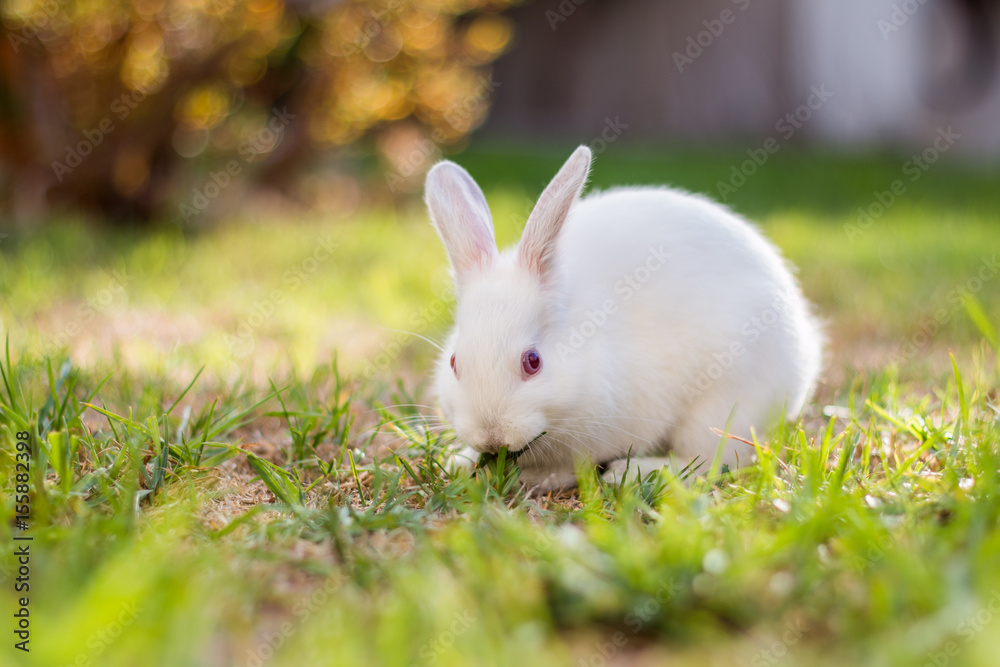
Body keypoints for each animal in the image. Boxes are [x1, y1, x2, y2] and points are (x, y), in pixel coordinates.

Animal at [424, 145, 822, 491]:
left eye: (533, 361)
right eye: (454, 362)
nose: (491, 436)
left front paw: (539, 478)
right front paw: (460, 461)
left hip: (723, 406)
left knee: (713, 460)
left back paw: (630, 473)